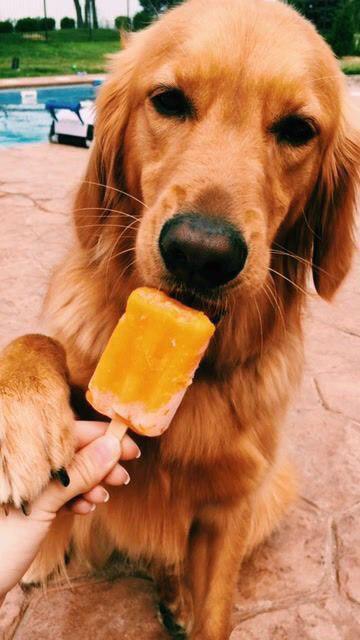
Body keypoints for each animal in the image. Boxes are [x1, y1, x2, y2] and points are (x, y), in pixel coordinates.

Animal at [0, 0, 360, 636]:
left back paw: (175, 596)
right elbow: (35, 340)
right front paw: (24, 420)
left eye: (298, 130)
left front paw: (196, 607)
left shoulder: (230, 509)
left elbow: (217, 608)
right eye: (168, 100)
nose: (201, 254)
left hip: (275, 489)